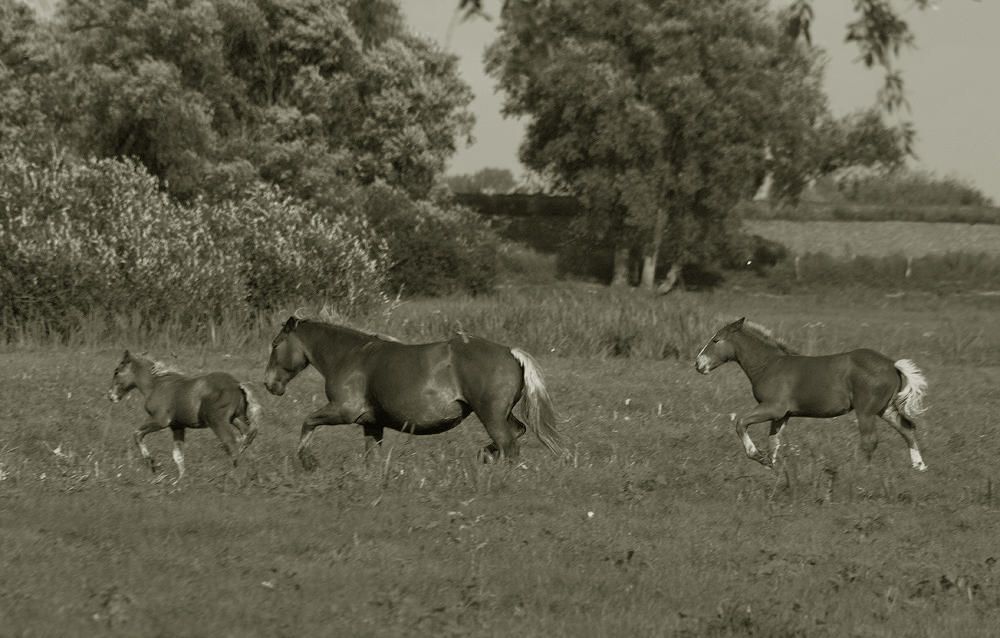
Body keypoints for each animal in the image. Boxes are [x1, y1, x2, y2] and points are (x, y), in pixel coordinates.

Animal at [108, 352, 262, 482]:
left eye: (117, 371)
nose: (110, 396)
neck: (155, 385)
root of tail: (237, 384)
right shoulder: (177, 426)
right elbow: (178, 454)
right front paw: (180, 481)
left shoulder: (160, 421)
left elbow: (137, 433)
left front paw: (150, 463)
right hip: (237, 418)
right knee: (247, 437)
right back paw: (253, 473)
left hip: (218, 421)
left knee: (231, 442)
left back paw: (235, 477)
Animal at [262, 318, 568, 472]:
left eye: (275, 345)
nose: (268, 384)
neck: (351, 356)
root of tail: (510, 352)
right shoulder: (372, 424)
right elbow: (372, 458)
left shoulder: (343, 410)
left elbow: (308, 421)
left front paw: (308, 461)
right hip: (502, 414)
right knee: (516, 433)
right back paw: (485, 455)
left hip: (490, 414)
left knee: (510, 445)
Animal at [700, 318, 924, 472]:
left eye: (716, 340)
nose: (698, 364)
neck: (769, 365)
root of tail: (892, 364)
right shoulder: (783, 416)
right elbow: (774, 443)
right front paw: (776, 471)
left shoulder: (773, 408)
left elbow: (740, 422)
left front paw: (758, 455)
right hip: (885, 408)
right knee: (907, 428)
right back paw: (919, 466)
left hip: (866, 410)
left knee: (870, 441)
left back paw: (860, 473)